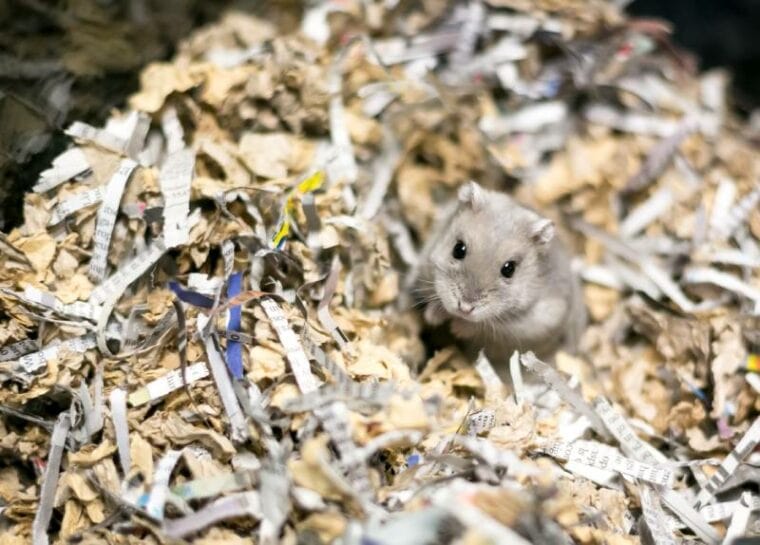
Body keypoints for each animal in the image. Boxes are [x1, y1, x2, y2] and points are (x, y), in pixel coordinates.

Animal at [416, 181, 585, 365]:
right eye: (458, 249)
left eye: (509, 269)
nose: (465, 308)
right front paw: (432, 317)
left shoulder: (535, 323)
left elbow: (482, 327)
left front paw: (456, 328)